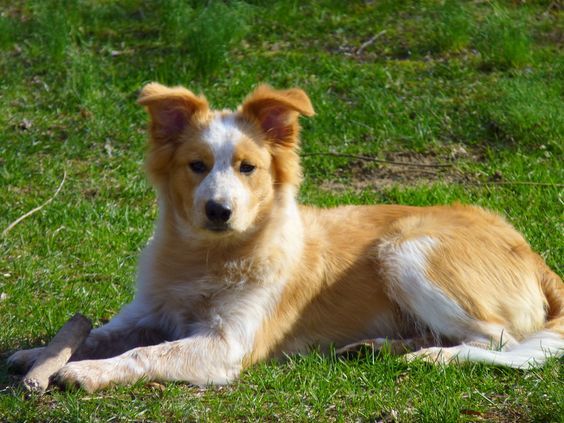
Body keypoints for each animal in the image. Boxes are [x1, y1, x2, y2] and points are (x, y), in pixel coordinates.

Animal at [8, 83, 564, 394]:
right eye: (196, 166)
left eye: (248, 168)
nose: (218, 210)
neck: (208, 257)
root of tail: (534, 255)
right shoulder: (144, 314)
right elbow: (98, 333)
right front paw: (38, 355)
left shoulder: (226, 345)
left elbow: (148, 354)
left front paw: (87, 373)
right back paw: (377, 347)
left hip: (407, 249)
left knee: (499, 340)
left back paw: (433, 358)